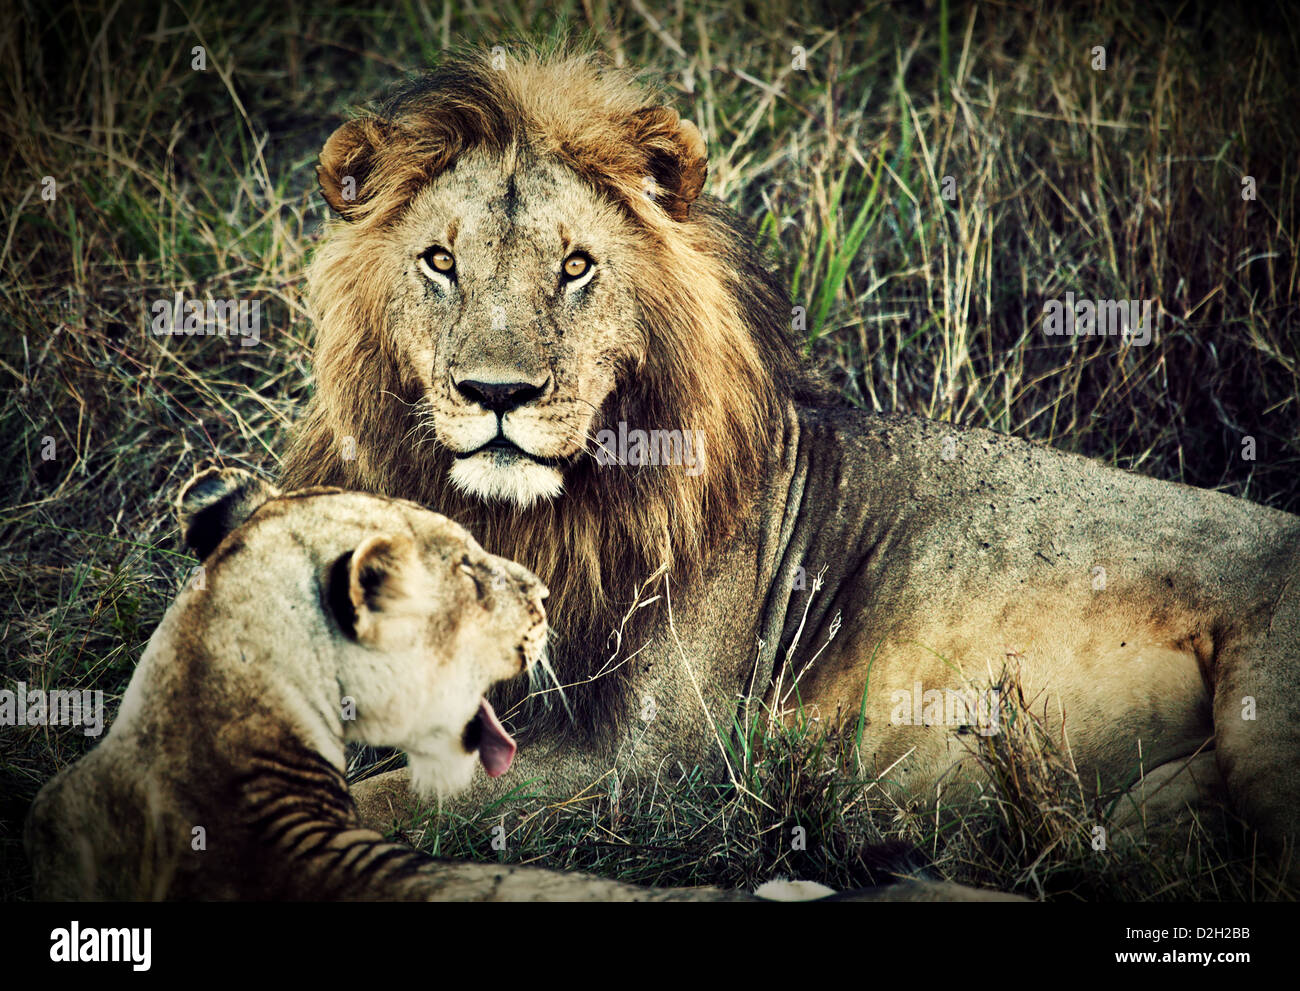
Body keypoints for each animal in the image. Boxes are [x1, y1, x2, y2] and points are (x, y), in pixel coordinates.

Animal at [284, 50, 1300, 868]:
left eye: (575, 267)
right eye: (439, 262)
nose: (498, 393)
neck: (525, 518)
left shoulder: (652, 766)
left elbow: (383, 792)